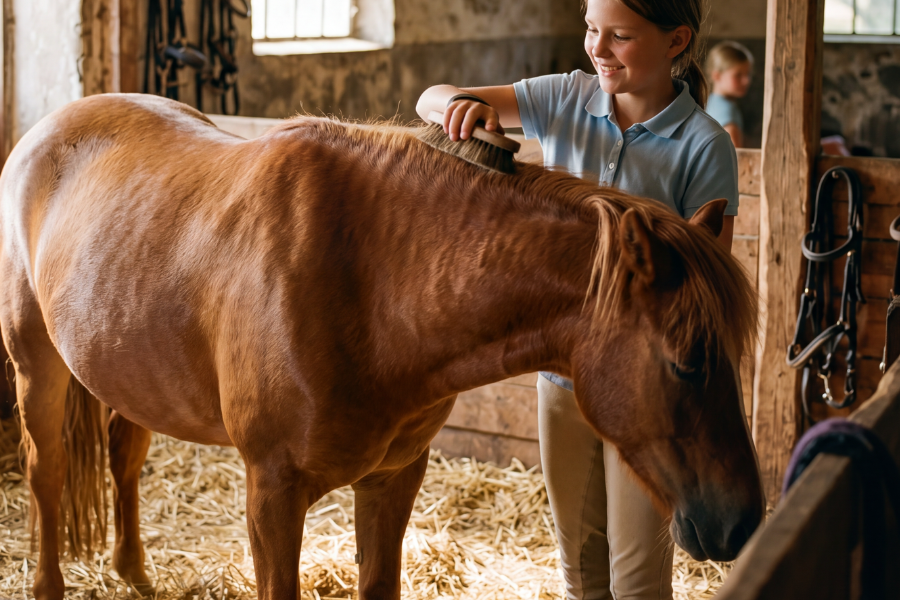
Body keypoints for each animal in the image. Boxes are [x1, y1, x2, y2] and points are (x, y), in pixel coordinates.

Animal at [0, 93, 763, 600]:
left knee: (124, 456)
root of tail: (49, 129)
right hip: (38, 367)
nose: (743, 520)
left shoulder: (394, 480)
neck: (369, 283)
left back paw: (134, 573)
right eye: (686, 361)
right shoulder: (271, 494)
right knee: (47, 470)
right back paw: (48, 583)